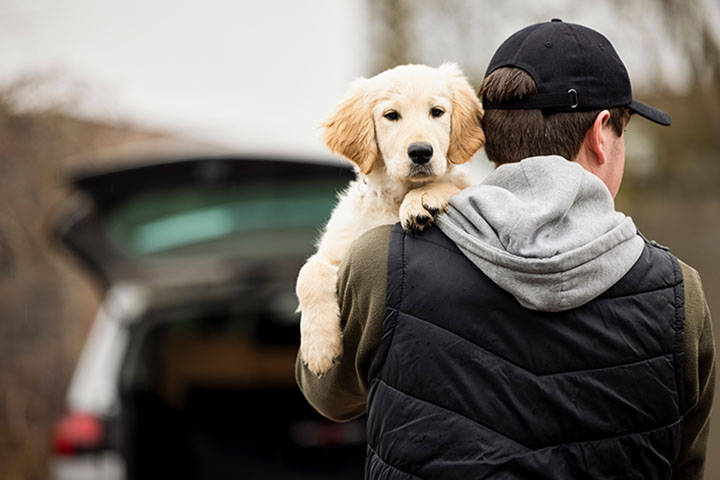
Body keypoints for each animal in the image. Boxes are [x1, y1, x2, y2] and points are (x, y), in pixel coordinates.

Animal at [296, 62, 486, 376]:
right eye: (391, 116)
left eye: (437, 112)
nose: (421, 152)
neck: (395, 197)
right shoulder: (337, 250)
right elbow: (308, 273)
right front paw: (319, 348)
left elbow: (452, 184)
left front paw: (422, 199)